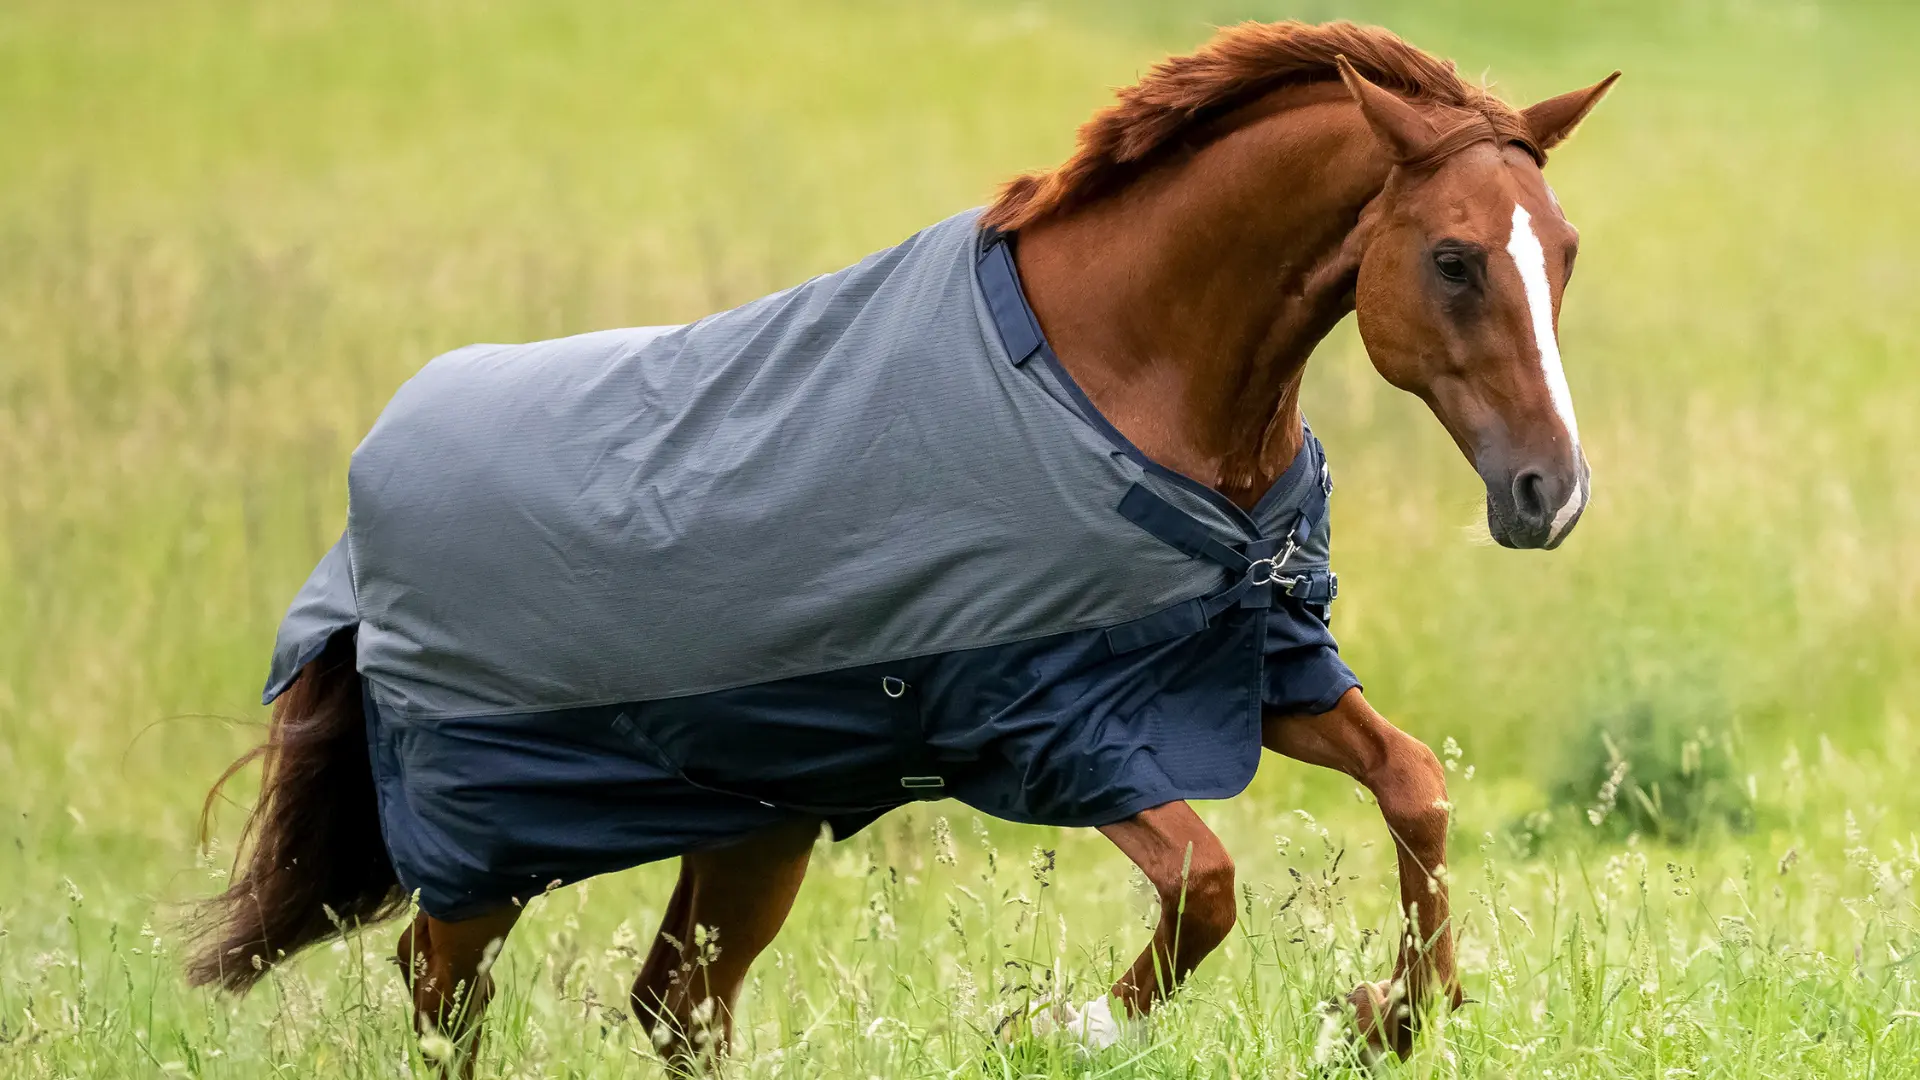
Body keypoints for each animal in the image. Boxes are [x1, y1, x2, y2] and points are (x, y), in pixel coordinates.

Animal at [187, 20, 1615, 1073]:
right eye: (1452, 259)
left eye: (1564, 252)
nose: (1549, 496)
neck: (1119, 381)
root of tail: (361, 531)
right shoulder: (1046, 727)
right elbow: (1206, 883)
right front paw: (1056, 1028)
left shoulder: (1251, 670)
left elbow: (1416, 788)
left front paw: (1393, 1013)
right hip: (487, 856)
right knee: (445, 1000)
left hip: (751, 829)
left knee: (677, 1010)